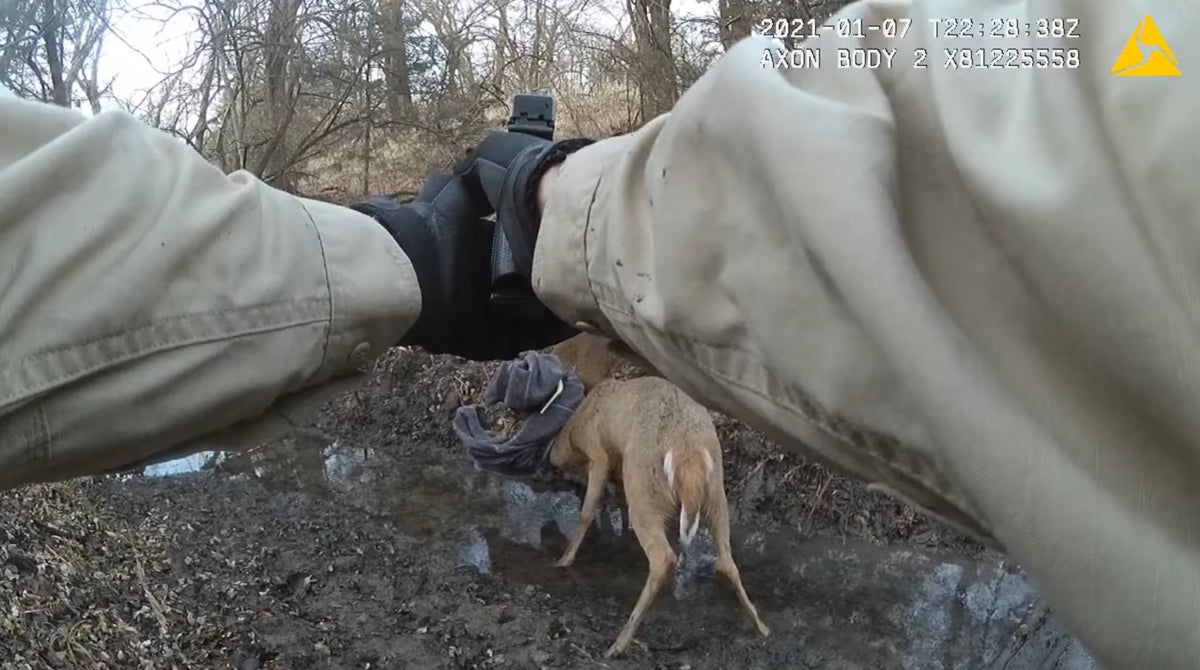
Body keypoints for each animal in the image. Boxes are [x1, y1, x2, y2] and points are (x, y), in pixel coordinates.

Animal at [547, 333, 768, 657]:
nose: (552, 456)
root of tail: (686, 451)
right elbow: (614, 501)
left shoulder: (597, 453)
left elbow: (587, 510)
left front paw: (564, 559)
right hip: (716, 495)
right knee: (726, 561)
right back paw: (761, 626)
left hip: (646, 491)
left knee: (663, 558)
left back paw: (619, 643)